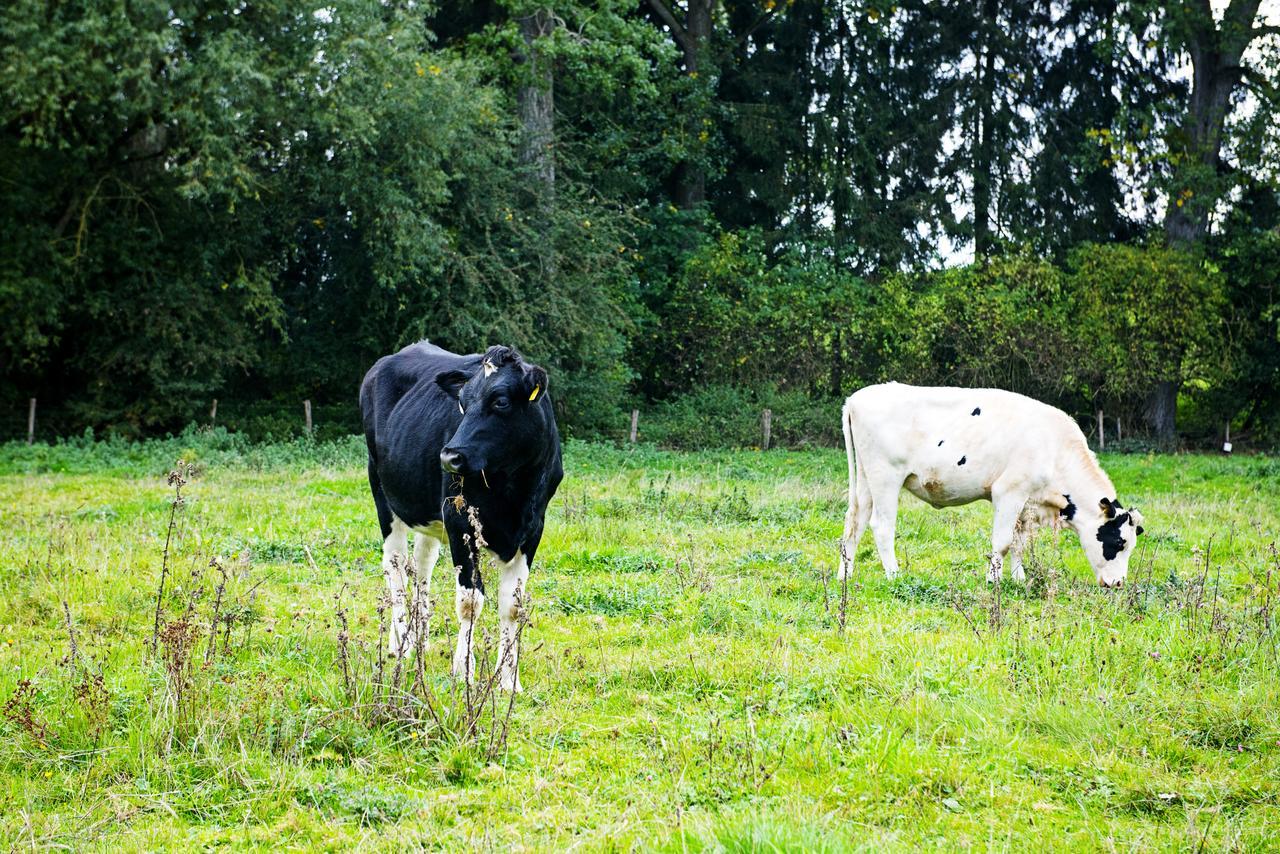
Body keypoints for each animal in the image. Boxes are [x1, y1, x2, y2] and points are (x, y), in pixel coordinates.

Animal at [358, 338, 563, 686]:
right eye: (462, 404)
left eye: (501, 402)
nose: (449, 457)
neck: (513, 489)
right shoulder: (460, 523)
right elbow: (470, 602)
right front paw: (463, 670)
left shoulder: (533, 529)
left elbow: (512, 605)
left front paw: (509, 680)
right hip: (383, 491)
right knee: (396, 564)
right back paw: (401, 643)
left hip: (431, 514)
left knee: (422, 565)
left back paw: (420, 636)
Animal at [839, 381, 1152, 588]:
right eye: (1119, 542)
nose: (1118, 583)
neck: (1054, 448)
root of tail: (857, 398)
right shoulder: (1009, 492)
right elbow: (1002, 541)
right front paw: (994, 579)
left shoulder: (1026, 501)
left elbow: (1019, 542)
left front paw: (1018, 578)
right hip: (885, 477)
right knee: (881, 526)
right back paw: (894, 575)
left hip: (866, 481)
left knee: (854, 523)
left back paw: (845, 574)